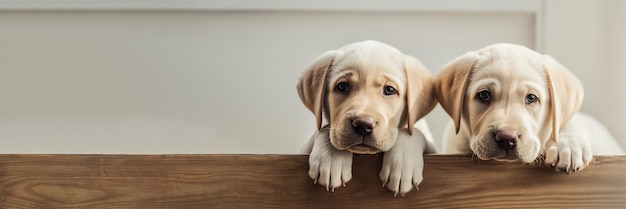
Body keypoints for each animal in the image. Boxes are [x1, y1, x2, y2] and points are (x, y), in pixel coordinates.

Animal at [296, 40, 434, 196]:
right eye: (342, 86)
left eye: (389, 90)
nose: (362, 125)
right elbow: (325, 129)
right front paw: (331, 156)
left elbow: (412, 131)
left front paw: (403, 162)